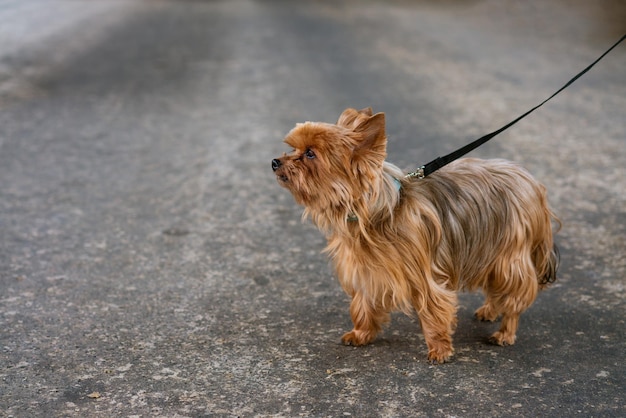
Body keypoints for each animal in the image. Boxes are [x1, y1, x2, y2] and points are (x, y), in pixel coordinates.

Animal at [268, 107, 556, 362]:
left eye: (310, 154)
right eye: (294, 149)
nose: (274, 161)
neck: (370, 213)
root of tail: (531, 183)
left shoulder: (422, 273)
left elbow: (433, 308)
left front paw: (439, 349)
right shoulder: (366, 269)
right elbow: (363, 303)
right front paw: (361, 333)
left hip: (509, 254)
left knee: (513, 293)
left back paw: (505, 332)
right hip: (488, 248)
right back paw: (489, 310)